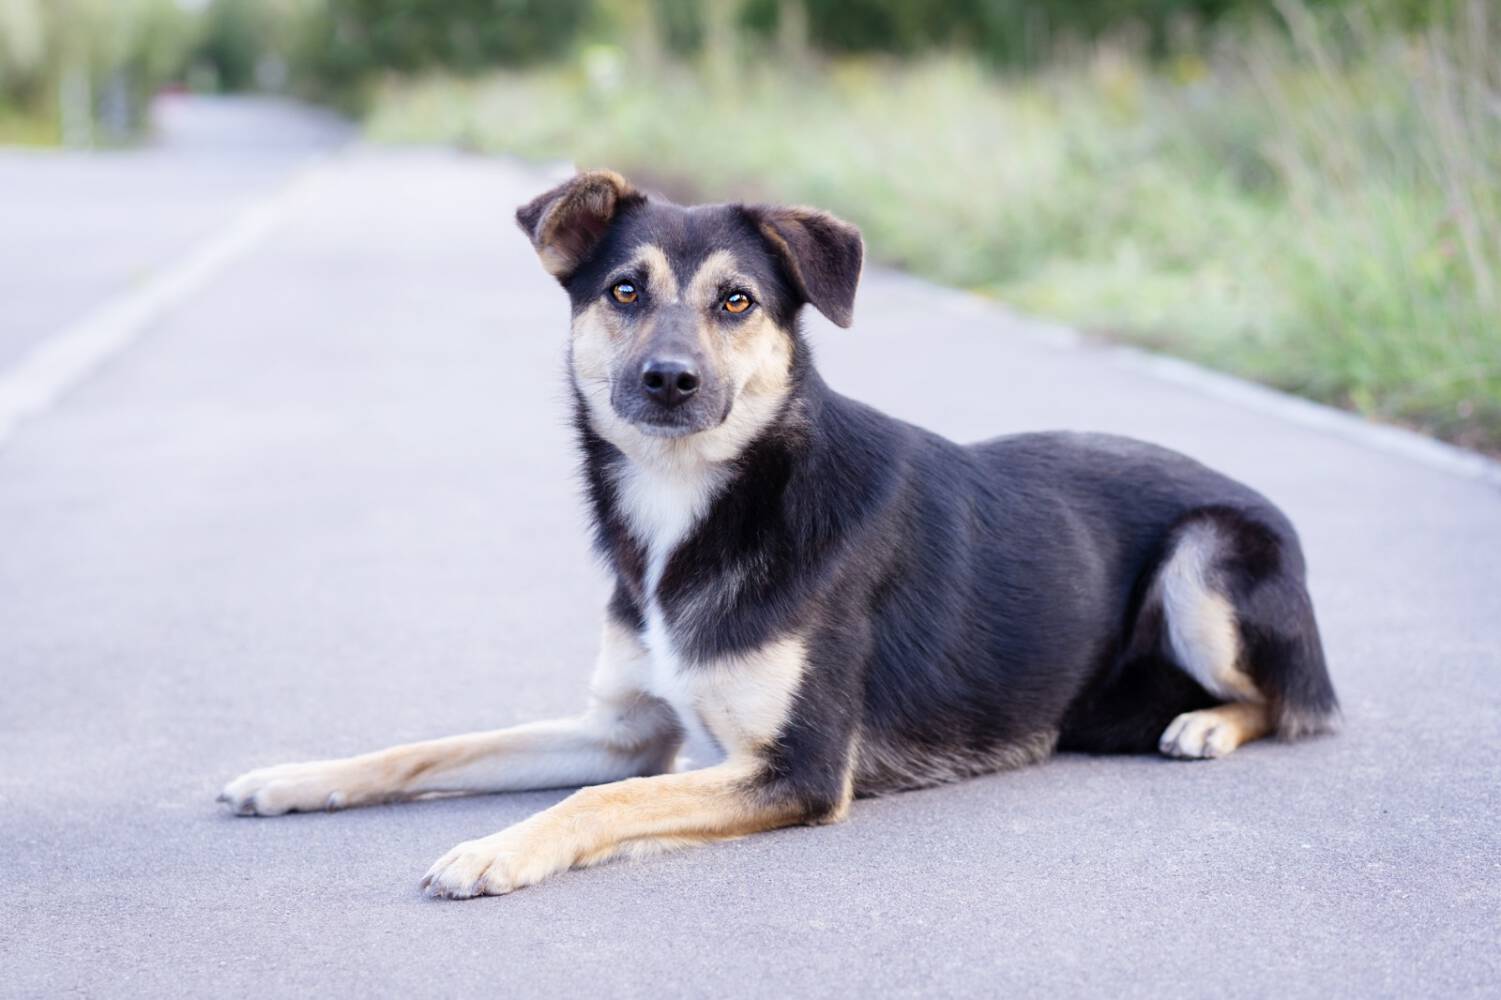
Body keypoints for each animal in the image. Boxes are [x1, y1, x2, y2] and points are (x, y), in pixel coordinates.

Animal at [219, 170, 1339, 898]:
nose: (669, 380)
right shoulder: (622, 730)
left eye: (736, 301)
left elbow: (596, 805)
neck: (697, 506)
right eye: (623, 291)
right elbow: (429, 747)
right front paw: (292, 778)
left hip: (1206, 557)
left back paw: (1205, 724)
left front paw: (499, 848)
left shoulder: (793, 768)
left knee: (1288, 704)